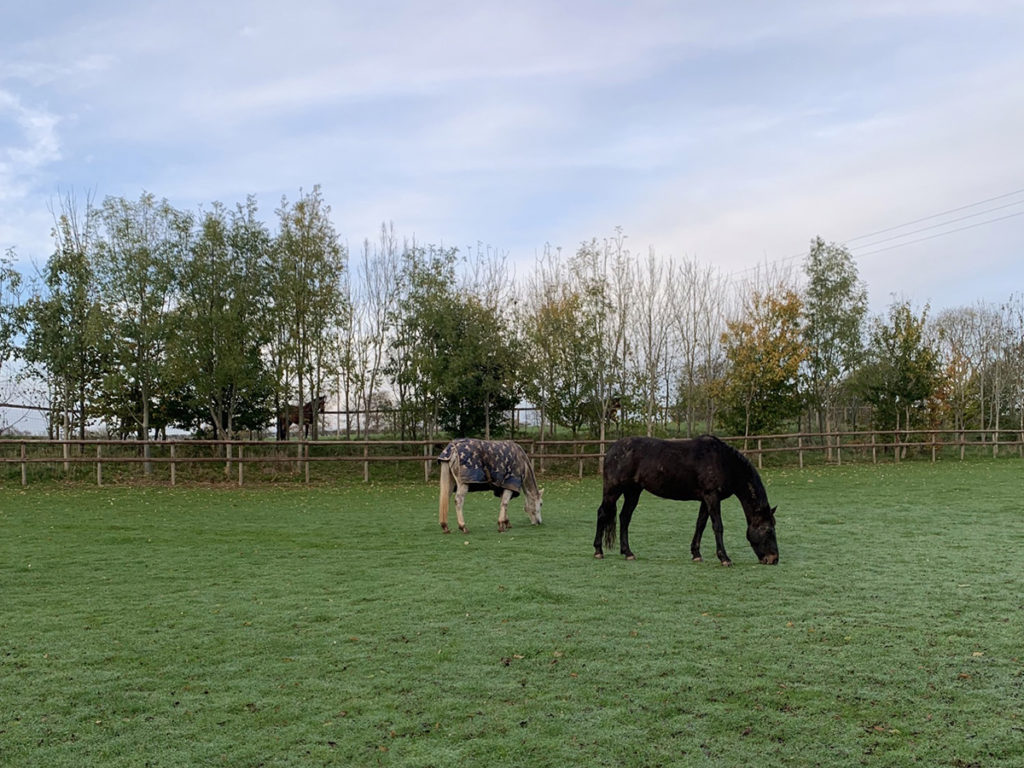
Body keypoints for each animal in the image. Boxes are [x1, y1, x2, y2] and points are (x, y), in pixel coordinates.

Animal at [593, 438, 774, 565]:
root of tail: (611, 450)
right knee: (602, 513)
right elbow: (718, 526)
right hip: (613, 491)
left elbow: (700, 524)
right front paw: (724, 558)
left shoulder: (706, 500)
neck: (723, 461)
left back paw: (628, 552)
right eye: (768, 530)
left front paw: (696, 554)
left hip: (633, 492)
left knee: (624, 518)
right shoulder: (712, 497)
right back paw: (598, 551)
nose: (774, 559)